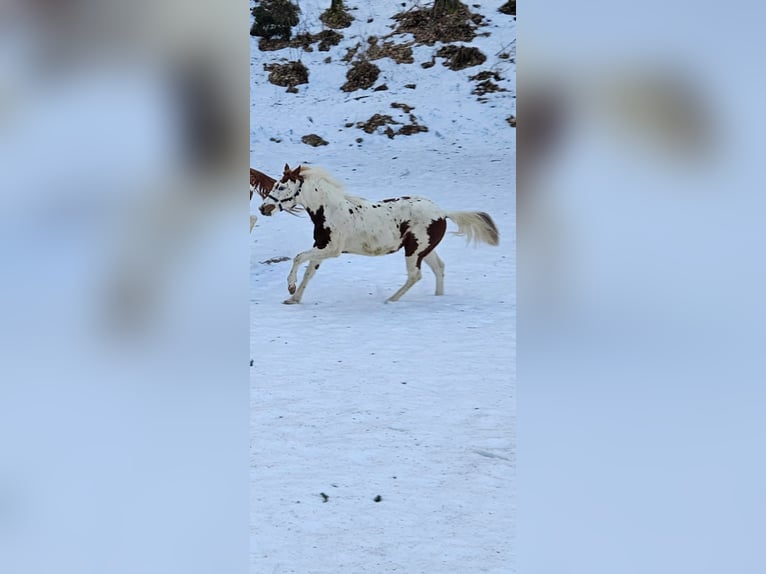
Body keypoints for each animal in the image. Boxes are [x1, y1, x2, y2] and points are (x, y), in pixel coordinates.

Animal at [259, 164, 500, 304]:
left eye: (281, 187)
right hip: (424, 249)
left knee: (415, 275)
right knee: (439, 268)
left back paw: (390, 300)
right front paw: (294, 298)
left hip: (414, 251)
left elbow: (298, 258)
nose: (263, 208)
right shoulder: (321, 247)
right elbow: (309, 272)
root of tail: (442, 213)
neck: (329, 210)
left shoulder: (332, 250)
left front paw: (290, 287)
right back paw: (438, 298)